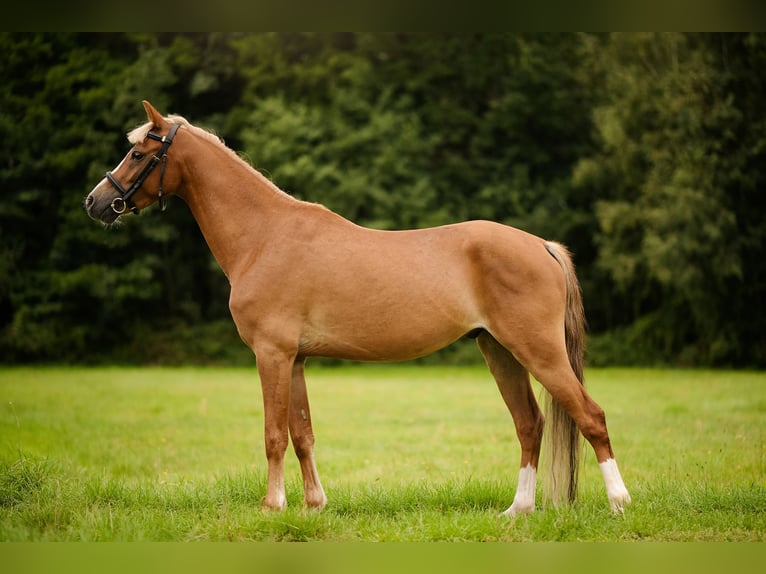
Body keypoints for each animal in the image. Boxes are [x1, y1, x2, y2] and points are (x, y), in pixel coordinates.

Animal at [85, 100, 631, 515]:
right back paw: (519, 510)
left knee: (591, 416)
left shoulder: (272, 355)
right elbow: (302, 434)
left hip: (538, 351)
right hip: (499, 351)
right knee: (530, 424)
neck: (265, 236)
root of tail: (541, 245)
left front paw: (273, 507)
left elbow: (273, 434)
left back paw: (618, 503)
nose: (95, 202)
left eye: (137, 152)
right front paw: (313, 505)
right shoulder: (296, 360)